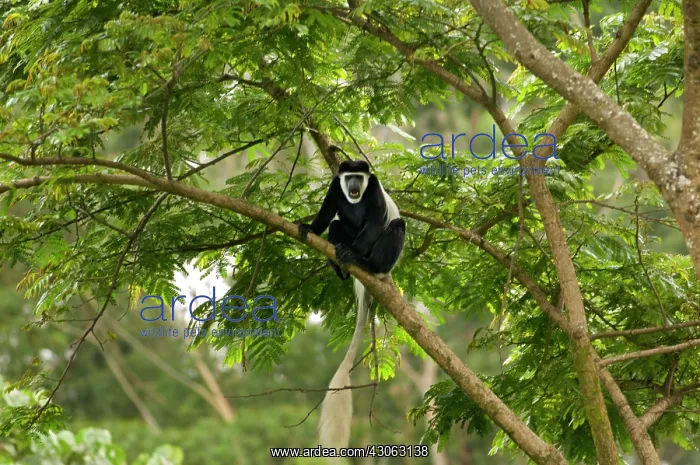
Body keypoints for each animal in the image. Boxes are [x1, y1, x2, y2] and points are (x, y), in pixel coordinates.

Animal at [298, 159, 405, 449]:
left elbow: (375, 221)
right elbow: (328, 212)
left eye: (359, 176)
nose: (355, 185)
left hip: (384, 256)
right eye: (349, 178)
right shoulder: (336, 186)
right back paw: (341, 268)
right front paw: (309, 228)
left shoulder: (374, 188)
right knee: (336, 226)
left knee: (396, 225)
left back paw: (362, 262)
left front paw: (353, 252)